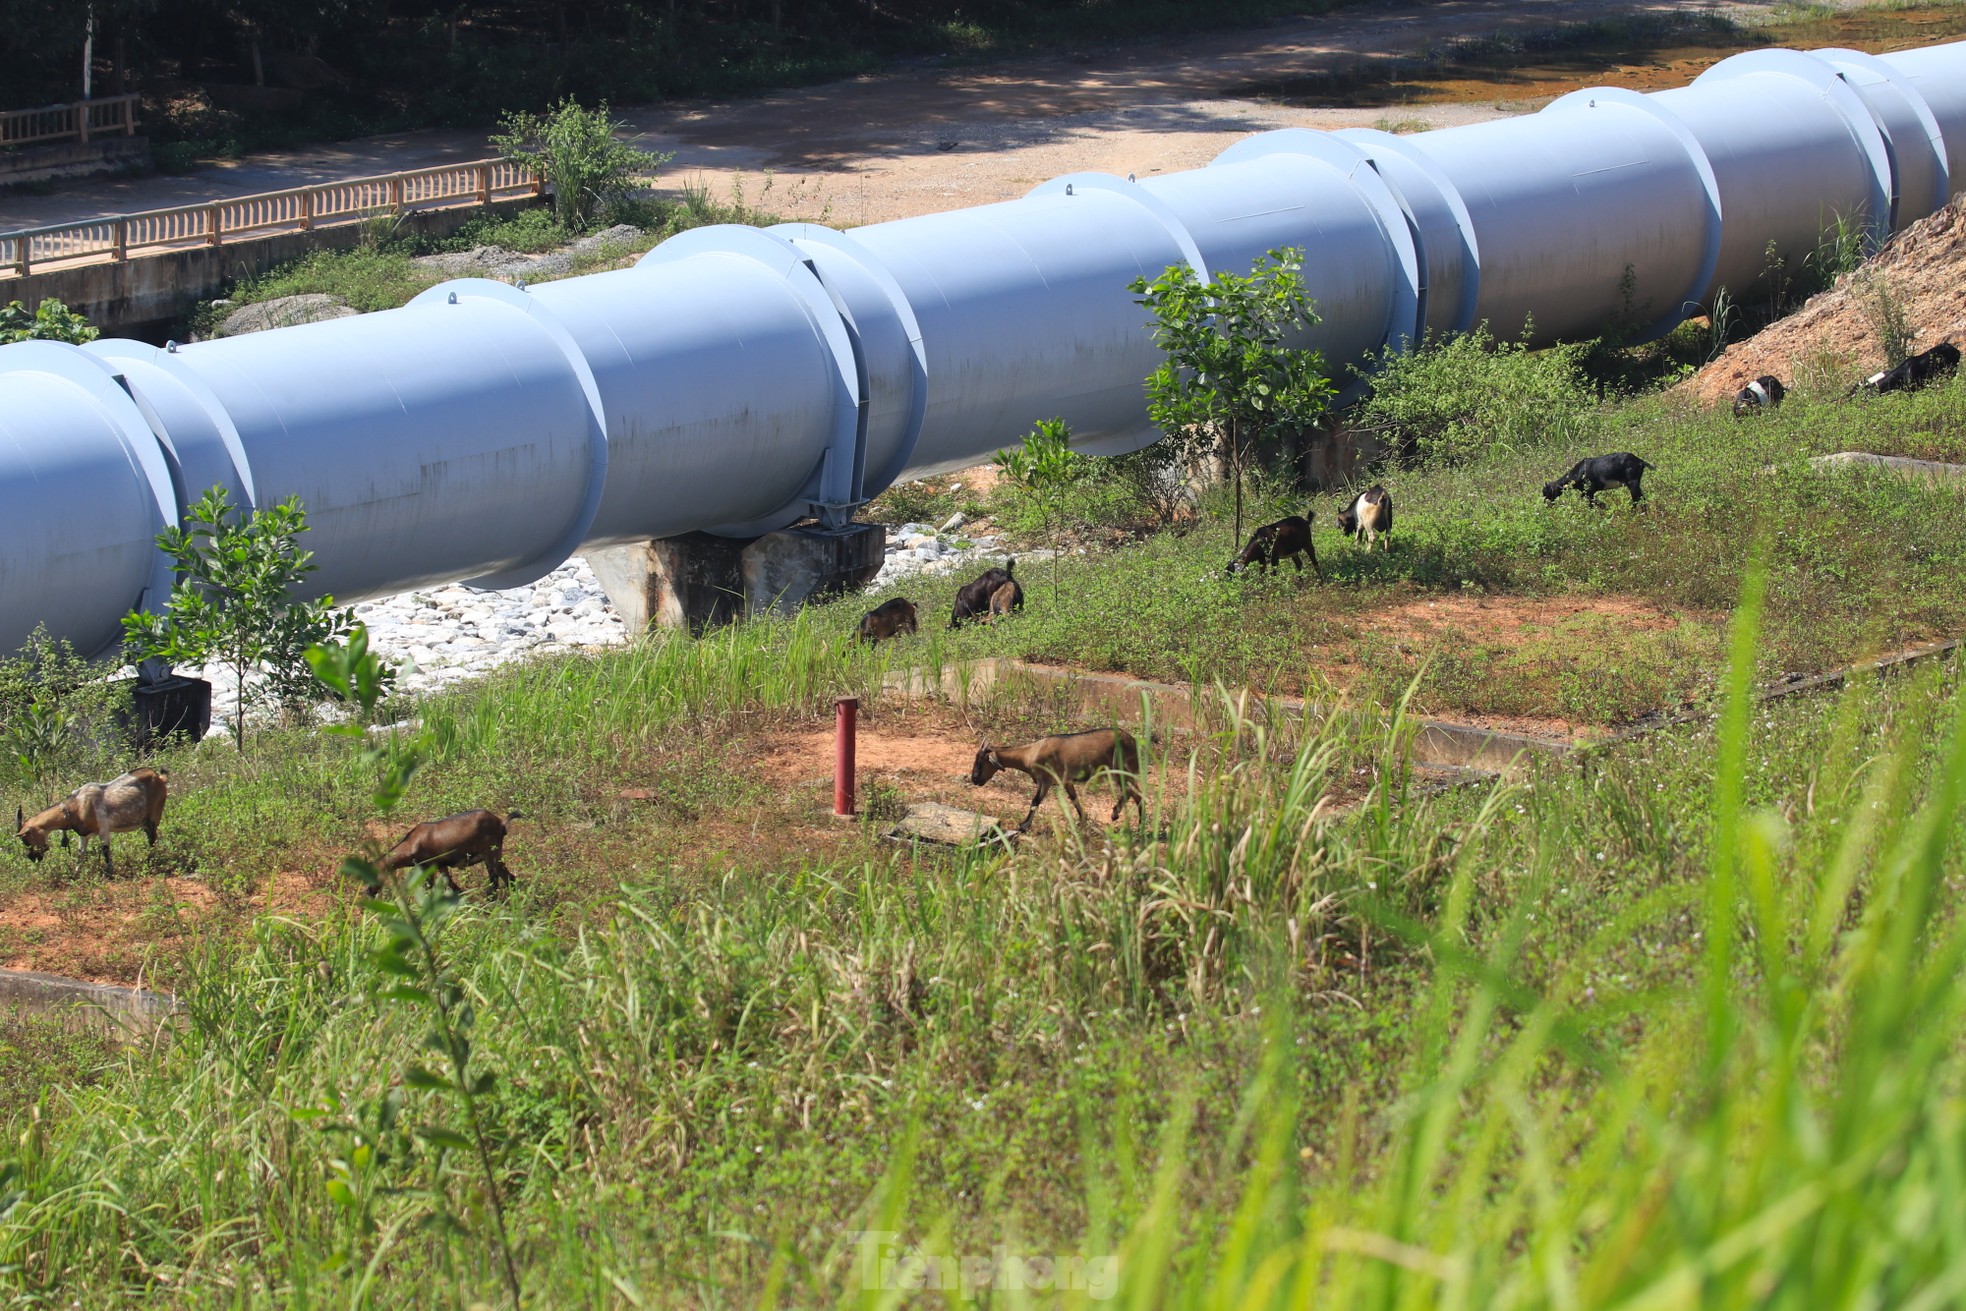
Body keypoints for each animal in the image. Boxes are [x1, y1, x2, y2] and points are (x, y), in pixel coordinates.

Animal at [13, 762, 169, 876]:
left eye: (26, 840)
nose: (32, 857)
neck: (76, 807)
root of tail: (160, 778)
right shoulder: (83, 835)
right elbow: (80, 854)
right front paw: (75, 875)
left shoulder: (104, 829)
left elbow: (105, 851)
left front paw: (108, 874)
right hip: (145, 822)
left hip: (155, 815)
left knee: (153, 839)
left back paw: (150, 862)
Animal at [963, 727, 1148, 829]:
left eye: (981, 761)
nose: (974, 779)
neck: (1030, 752)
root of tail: (1133, 742)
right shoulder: (1065, 781)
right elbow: (1074, 799)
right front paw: (1083, 821)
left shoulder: (1045, 780)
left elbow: (1035, 801)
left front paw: (1024, 826)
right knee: (1136, 794)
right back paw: (1138, 823)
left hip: (1119, 770)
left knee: (1133, 792)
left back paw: (1118, 815)